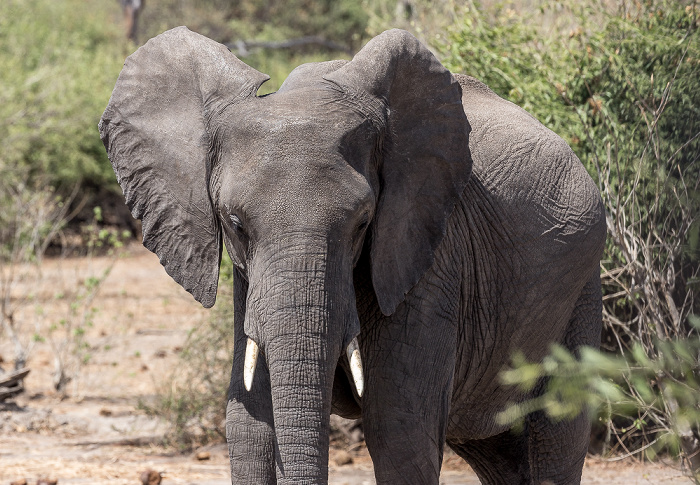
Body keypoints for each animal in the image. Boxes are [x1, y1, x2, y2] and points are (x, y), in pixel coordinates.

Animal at [98, 25, 608, 484]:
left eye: (363, 223)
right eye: (235, 225)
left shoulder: (429, 254)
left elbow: (399, 429)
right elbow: (250, 422)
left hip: (581, 286)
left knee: (556, 432)